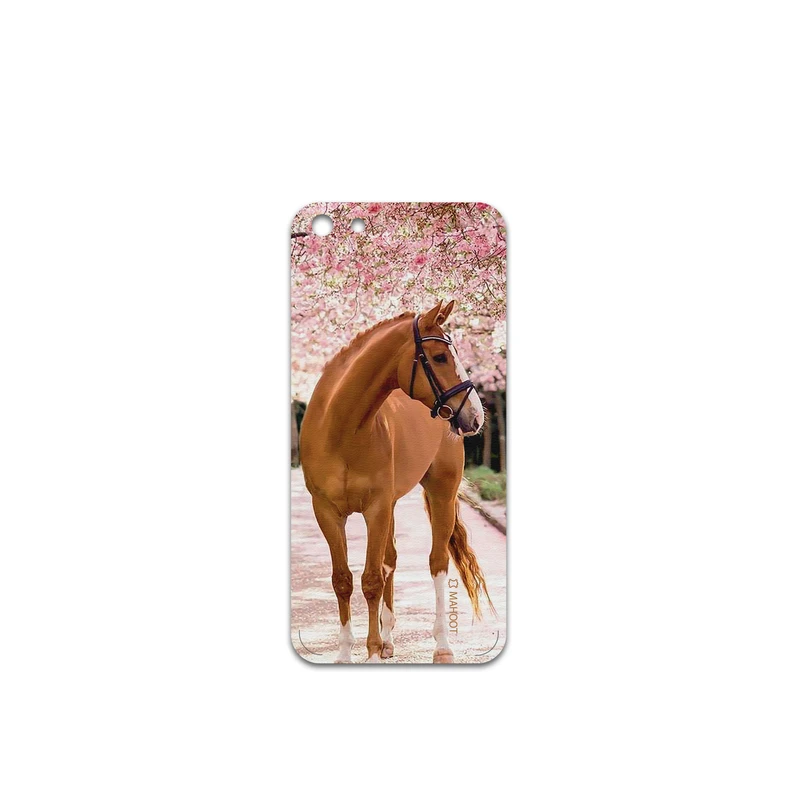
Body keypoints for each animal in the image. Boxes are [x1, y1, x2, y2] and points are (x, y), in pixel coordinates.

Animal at [299, 300, 494, 663]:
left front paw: (372, 652)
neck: (341, 429)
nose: (475, 415)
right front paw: (347, 653)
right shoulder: (327, 512)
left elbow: (371, 580)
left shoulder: (375, 509)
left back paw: (441, 647)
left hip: (441, 494)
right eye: (440, 357)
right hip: (390, 505)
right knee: (390, 560)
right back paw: (389, 640)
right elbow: (343, 580)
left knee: (437, 563)